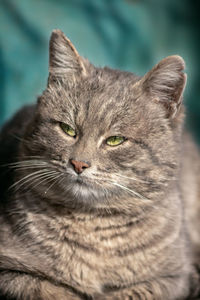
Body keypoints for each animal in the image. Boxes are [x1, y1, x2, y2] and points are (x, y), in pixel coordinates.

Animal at [0, 28, 200, 300]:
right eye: (67, 129)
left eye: (115, 140)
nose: (78, 163)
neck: (92, 228)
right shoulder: (9, 268)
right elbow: (49, 290)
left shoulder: (173, 277)